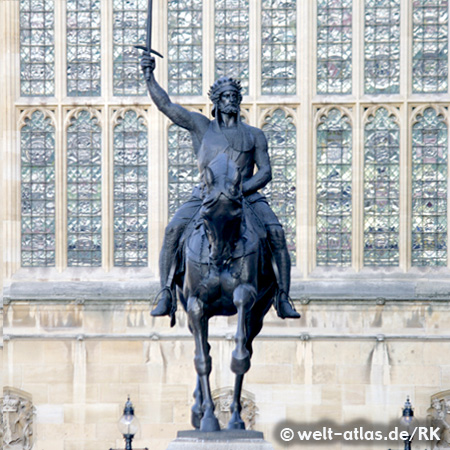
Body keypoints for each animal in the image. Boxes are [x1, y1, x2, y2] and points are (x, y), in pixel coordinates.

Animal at [175, 154, 278, 432]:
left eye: (236, 214)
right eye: (206, 214)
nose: (218, 257)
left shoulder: (248, 295)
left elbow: (240, 356)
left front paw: (232, 418)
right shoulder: (195, 304)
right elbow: (202, 361)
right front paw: (208, 417)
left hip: (258, 314)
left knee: (245, 346)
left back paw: (233, 416)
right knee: (203, 346)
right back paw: (198, 410)